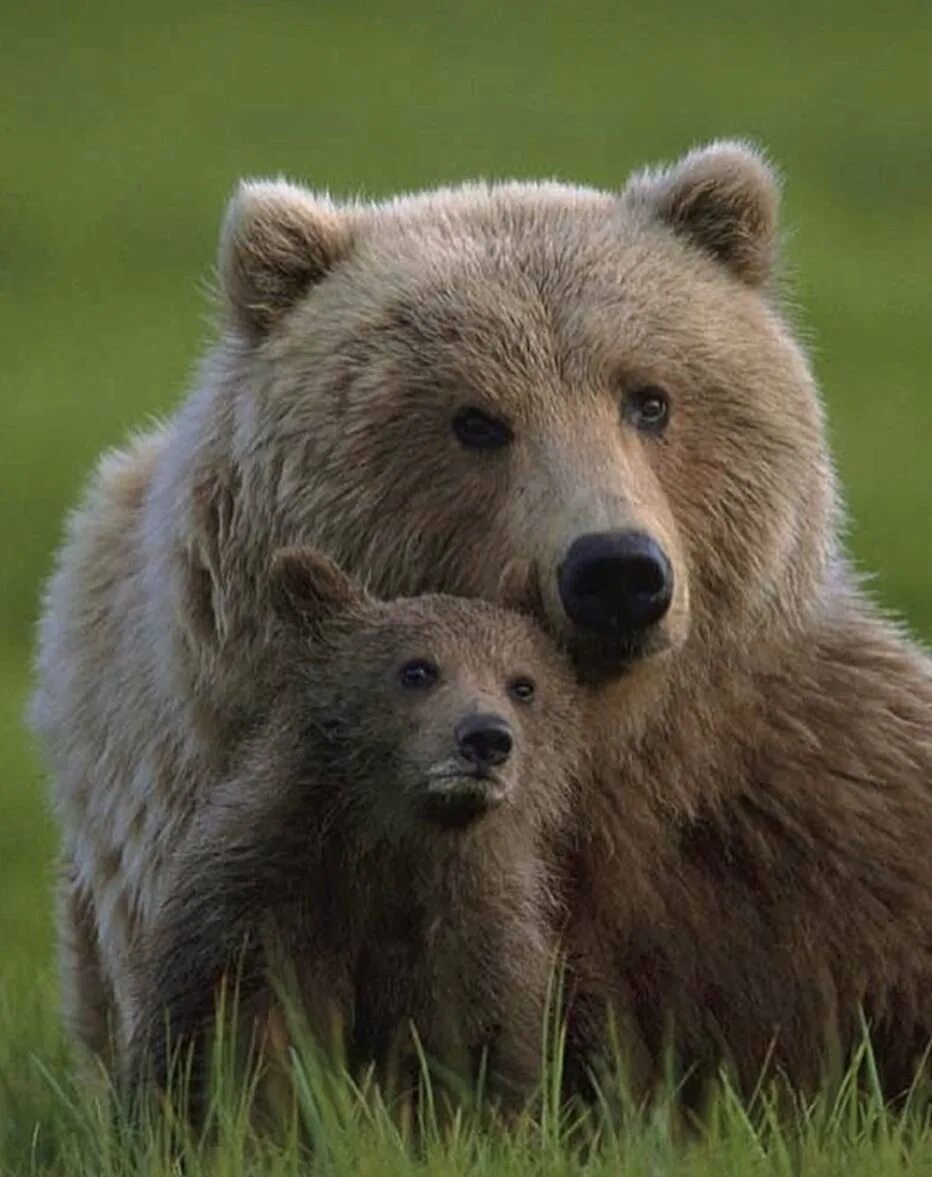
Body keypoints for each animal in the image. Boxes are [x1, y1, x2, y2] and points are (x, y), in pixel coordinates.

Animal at [30, 142, 932, 1096]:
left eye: (649, 398)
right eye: (476, 419)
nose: (616, 571)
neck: (600, 758)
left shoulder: (796, 812)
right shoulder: (243, 815)